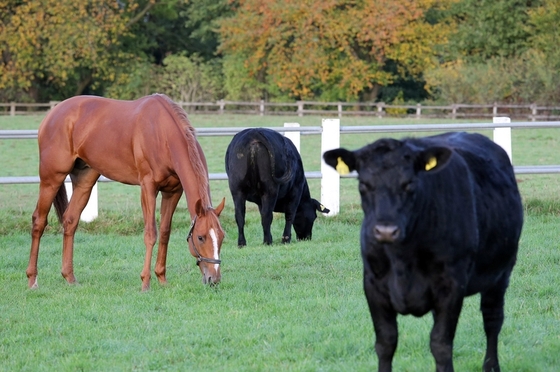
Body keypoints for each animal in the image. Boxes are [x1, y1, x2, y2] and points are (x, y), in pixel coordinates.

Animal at [25, 93, 228, 290]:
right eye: (200, 237)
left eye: (221, 236)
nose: (214, 279)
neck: (162, 134)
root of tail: (53, 113)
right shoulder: (148, 188)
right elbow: (151, 234)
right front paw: (145, 282)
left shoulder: (173, 192)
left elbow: (164, 232)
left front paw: (162, 279)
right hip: (52, 178)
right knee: (39, 221)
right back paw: (32, 280)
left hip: (85, 181)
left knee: (70, 221)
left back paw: (70, 278)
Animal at [322, 132, 524, 372]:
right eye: (363, 184)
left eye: (409, 183)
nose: (385, 231)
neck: (402, 260)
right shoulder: (373, 284)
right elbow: (386, 342)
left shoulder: (452, 285)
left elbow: (441, 344)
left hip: (501, 272)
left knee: (492, 319)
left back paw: (491, 366)